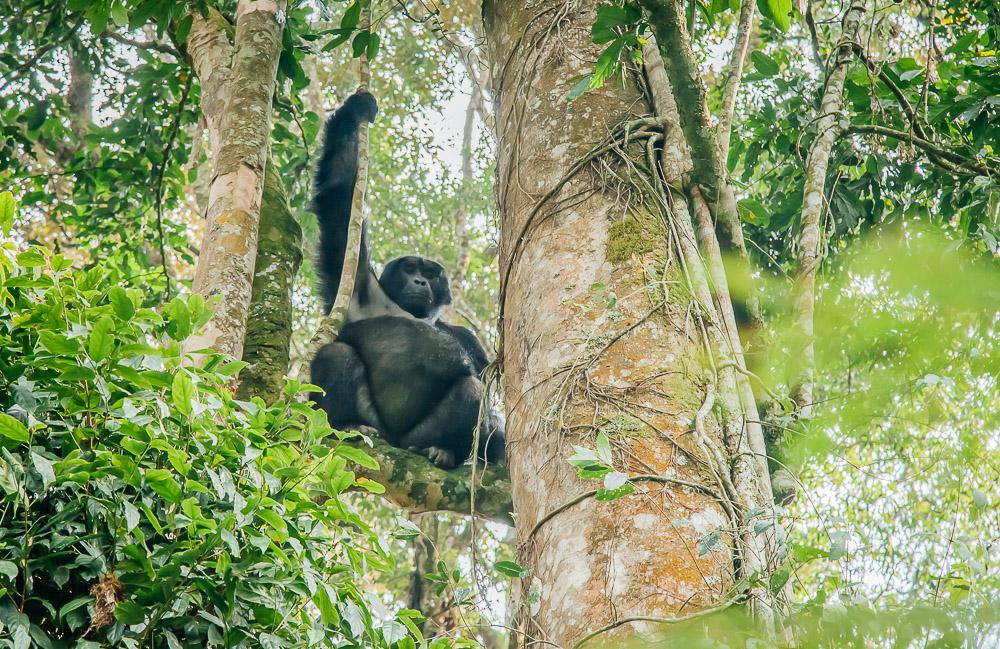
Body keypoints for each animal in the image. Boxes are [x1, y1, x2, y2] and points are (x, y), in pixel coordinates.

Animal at [308, 90, 504, 466]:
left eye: (430, 273)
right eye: (410, 268)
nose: (420, 282)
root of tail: (396, 441)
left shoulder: (468, 338)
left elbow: (486, 386)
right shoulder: (359, 285)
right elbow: (340, 201)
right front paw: (356, 110)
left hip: (417, 435)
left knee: (471, 389)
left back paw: (443, 450)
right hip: (376, 426)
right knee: (337, 355)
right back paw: (349, 425)